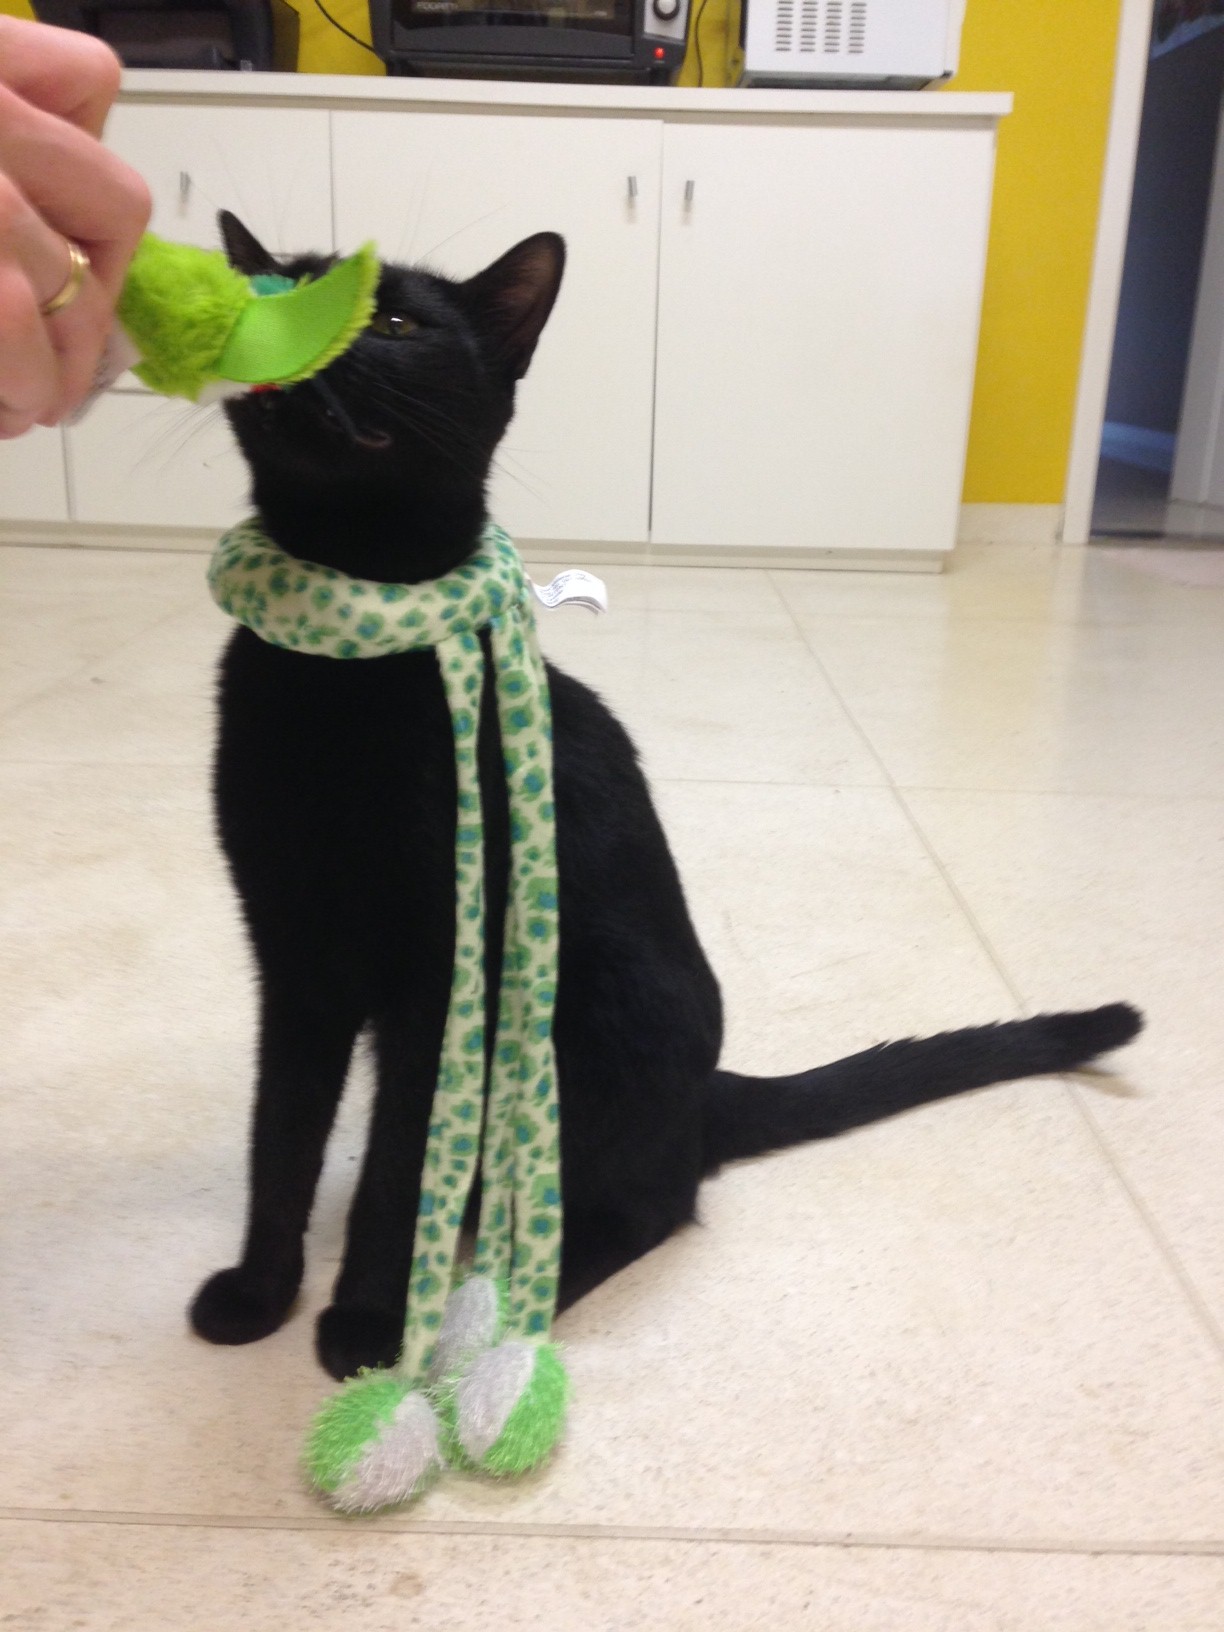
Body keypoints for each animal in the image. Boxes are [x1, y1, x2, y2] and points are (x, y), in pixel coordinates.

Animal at [190, 212, 1142, 1382]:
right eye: (277, 282)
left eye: (401, 322)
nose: (300, 326)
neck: (340, 660)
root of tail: (707, 1090)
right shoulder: (292, 960)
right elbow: (278, 1141)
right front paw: (258, 1295)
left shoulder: (442, 984)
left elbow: (399, 1171)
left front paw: (368, 1326)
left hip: (602, 1002)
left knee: (650, 1202)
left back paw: (508, 1307)